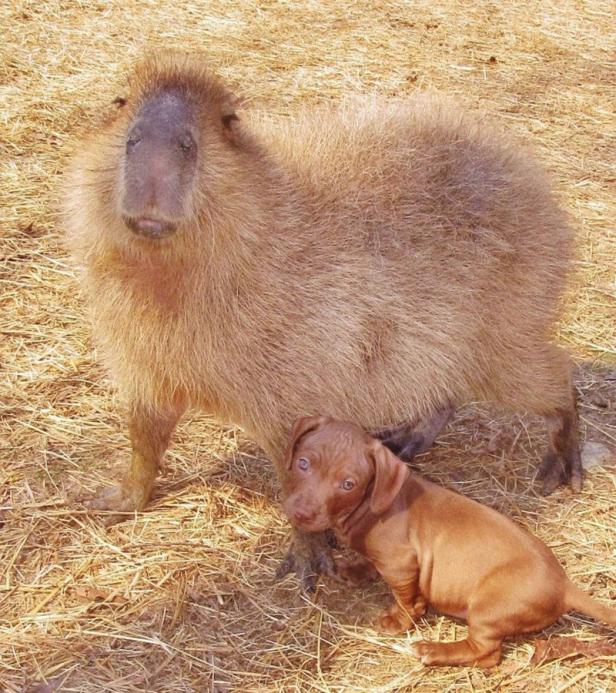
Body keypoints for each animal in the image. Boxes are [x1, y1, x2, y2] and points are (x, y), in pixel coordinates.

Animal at [282, 416, 612, 664]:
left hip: (488, 609)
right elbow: (371, 563)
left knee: (487, 654)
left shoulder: (403, 566)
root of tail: (564, 586)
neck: (371, 505)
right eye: (303, 463)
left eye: (348, 484)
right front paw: (356, 570)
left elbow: (408, 601)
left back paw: (435, 651)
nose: (301, 513)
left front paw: (398, 620)